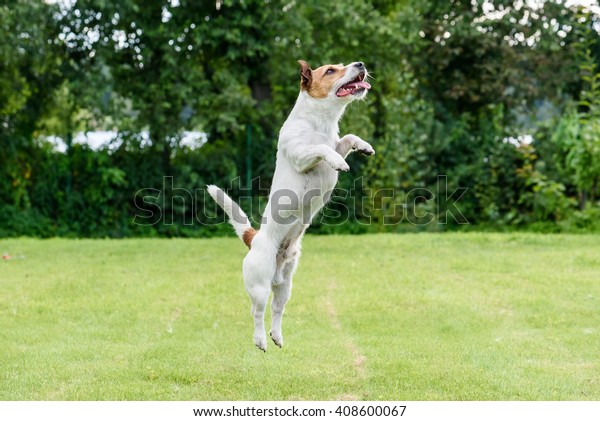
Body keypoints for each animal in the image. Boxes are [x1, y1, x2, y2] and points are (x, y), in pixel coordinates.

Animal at [209, 58, 372, 348]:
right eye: (330, 70)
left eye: (342, 65)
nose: (360, 63)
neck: (320, 125)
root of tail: (254, 238)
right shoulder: (301, 156)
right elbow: (322, 149)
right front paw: (338, 162)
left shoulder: (338, 142)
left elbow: (347, 139)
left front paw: (363, 145)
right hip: (260, 285)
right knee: (257, 311)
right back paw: (260, 340)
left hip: (285, 285)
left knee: (277, 309)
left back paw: (277, 336)